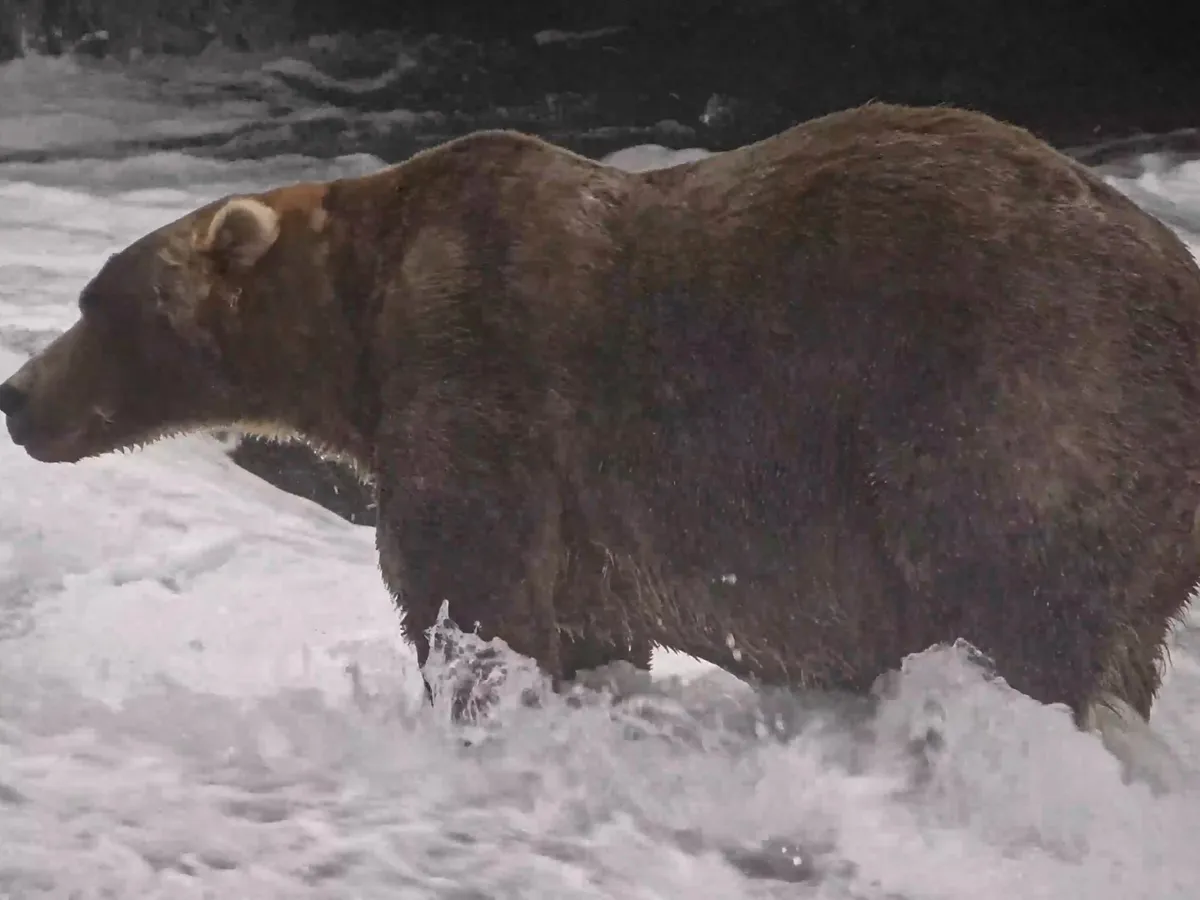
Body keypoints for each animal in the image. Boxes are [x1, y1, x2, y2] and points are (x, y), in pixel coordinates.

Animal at [3, 101, 1200, 741]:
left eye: (94, 302)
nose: (17, 394)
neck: (358, 322)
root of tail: (1178, 279)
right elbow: (584, 625)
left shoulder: (482, 367)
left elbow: (470, 589)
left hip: (1018, 400)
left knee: (1016, 600)